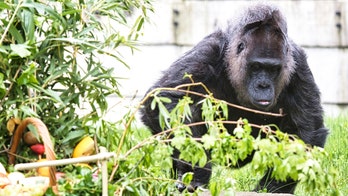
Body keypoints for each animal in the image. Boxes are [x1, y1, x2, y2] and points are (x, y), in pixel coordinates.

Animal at [138, 3, 326, 193]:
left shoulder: (298, 65)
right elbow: (165, 99)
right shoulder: (207, 52)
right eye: (256, 67)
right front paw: (195, 168)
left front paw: (273, 188)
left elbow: (304, 130)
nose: (263, 86)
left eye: (273, 69)